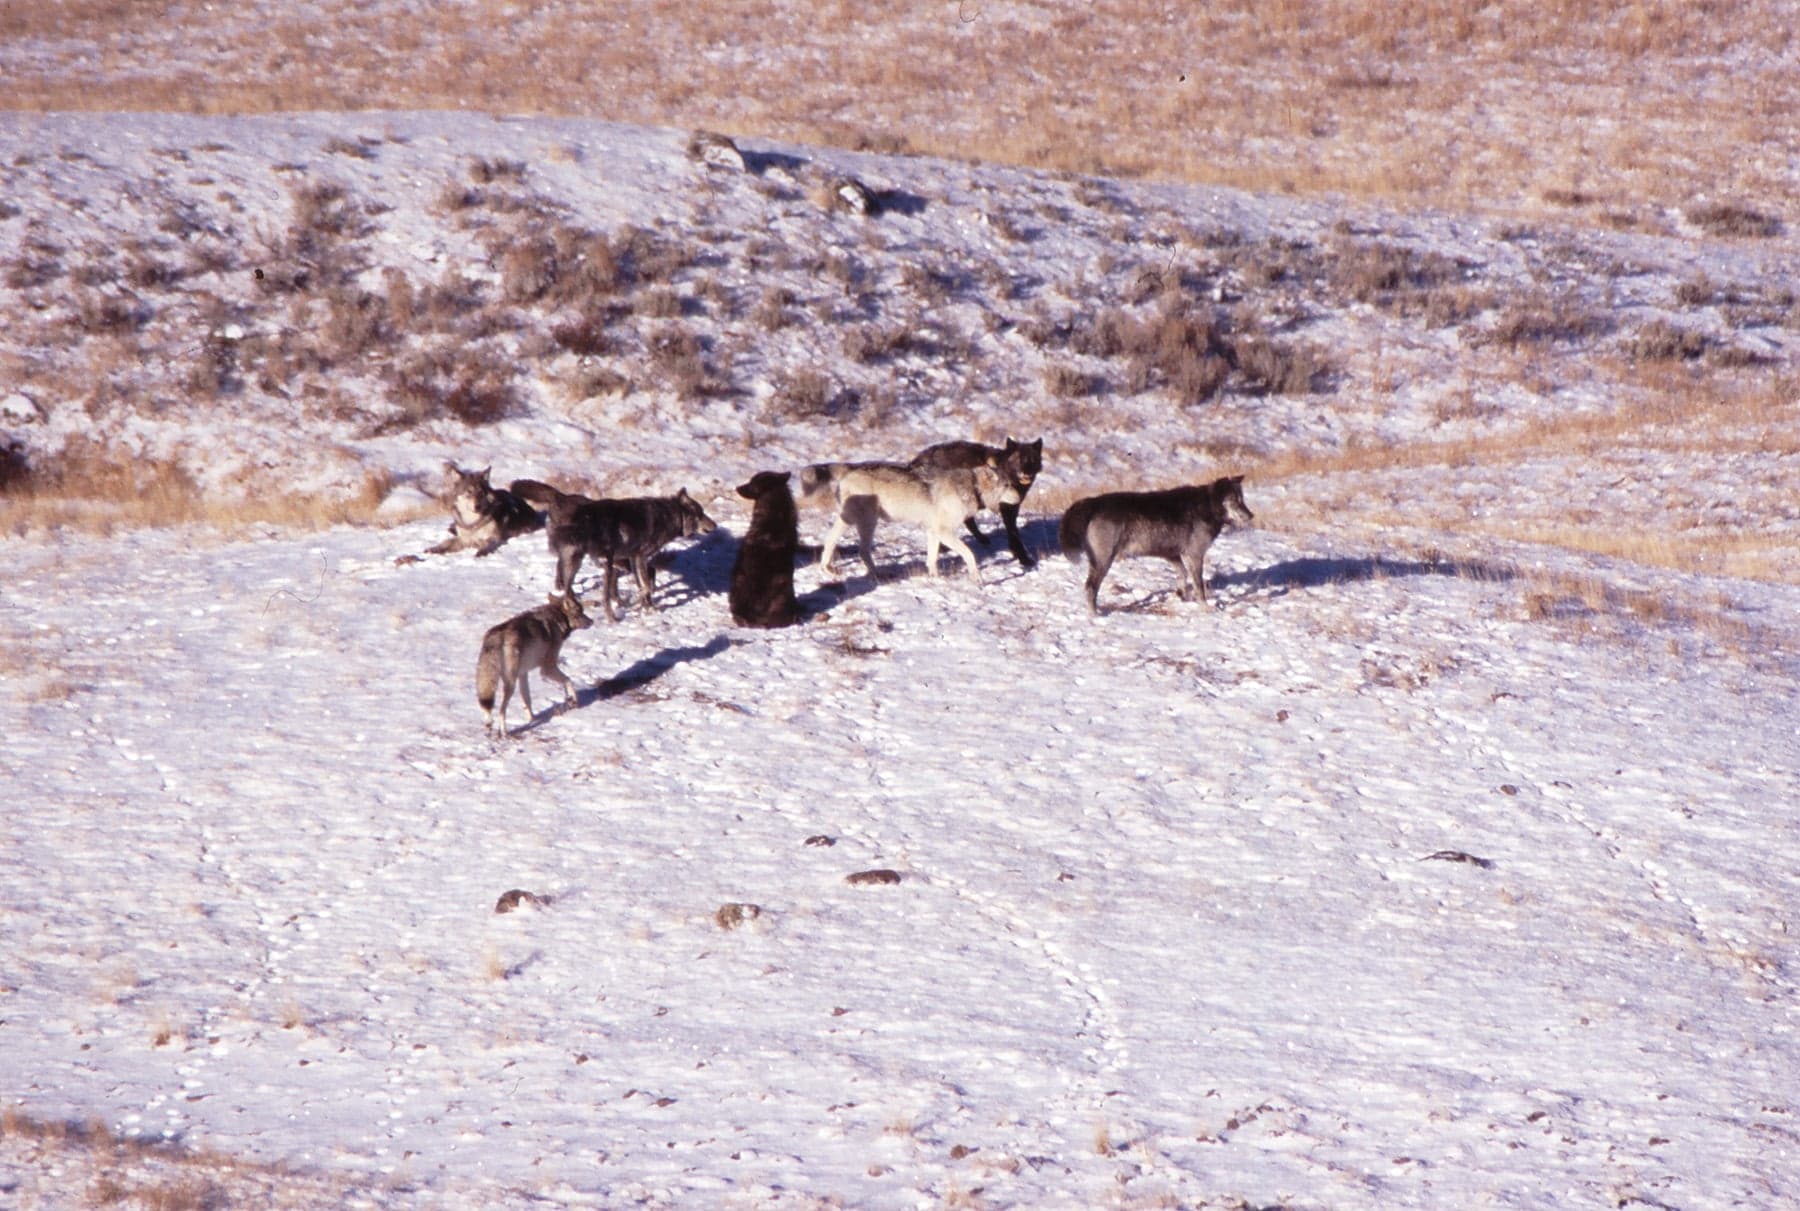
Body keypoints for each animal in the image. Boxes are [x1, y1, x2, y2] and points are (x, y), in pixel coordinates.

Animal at [475, 593, 593, 736]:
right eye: (580, 612)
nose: (592, 621)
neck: (557, 619)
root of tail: (495, 637)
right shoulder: (547, 668)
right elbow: (568, 680)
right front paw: (574, 700)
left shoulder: (523, 674)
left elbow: (527, 699)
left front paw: (533, 719)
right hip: (510, 684)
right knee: (501, 710)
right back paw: (504, 732)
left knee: (487, 705)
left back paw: (488, 726)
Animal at [510, 479, 718, 622]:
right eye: (701, 514)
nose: (716, 526)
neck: (668, 516)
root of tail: (560, 496)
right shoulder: (639, 556)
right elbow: (645, 585)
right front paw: (644, 603)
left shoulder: (633, 558)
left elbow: (643, 583)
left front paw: (647, 606)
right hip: (587, 561)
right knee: (573, 589)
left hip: (588, 560)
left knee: (565, 582)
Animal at [802, 459, 1019, 584]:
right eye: (1007, 485)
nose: (1019, 498)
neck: (973, 487)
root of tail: (851, 467)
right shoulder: (944, 532)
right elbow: (970, 554)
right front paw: (977, 578)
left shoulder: (933, 532)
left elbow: (932, 559)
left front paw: (935, 579)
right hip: (868, 522)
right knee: (862, 550)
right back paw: (877, 576)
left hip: (852, 521)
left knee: (831, 541)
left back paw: (828, 570)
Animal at [909, 436, 1043, 567]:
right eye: (1019, 460)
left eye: (1032, 460)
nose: (1027, 473)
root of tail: (917, 459)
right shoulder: (1007, 509)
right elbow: (1014, 534)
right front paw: (1024, 559)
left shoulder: (1012, 508)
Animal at [1058, 476, 1254, 615]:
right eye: (1236, 501)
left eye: (1243, 499)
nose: (1251, 515)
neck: (1208, 506)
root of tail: (1094, 502)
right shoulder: (1195, 555)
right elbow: (1199, 586)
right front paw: (1205, 608)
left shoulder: (1174, 555)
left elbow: (1182, 575)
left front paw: (1181, 596)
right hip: (1103, 562)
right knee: (1090, 587)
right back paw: (1094, 615)